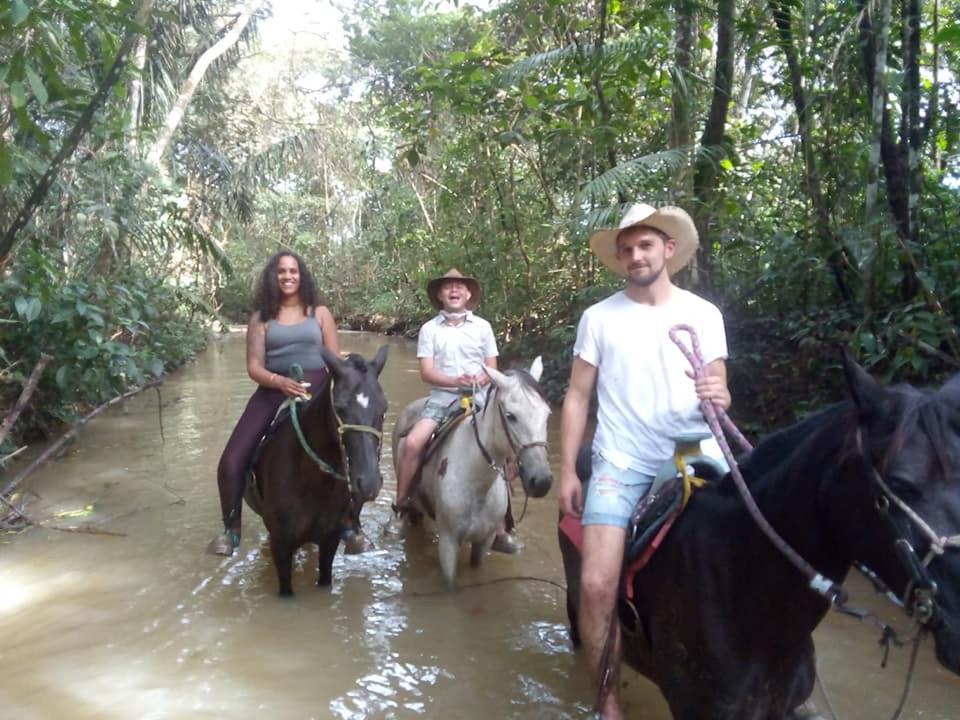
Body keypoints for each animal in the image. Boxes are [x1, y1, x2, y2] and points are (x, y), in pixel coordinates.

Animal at [246, 344, 388, 596]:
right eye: (339, 408)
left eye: (384, 407)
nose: (369, 483)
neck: (311, 479)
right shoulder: (281, 545)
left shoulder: (329, 540)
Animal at [392, 358, 556, 588]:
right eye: (510, 416)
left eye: (547, 414)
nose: (541, 481)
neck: (477, 482)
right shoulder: (448, 543)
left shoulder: (483, 541)